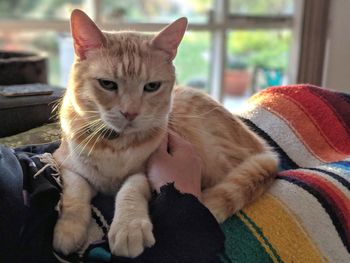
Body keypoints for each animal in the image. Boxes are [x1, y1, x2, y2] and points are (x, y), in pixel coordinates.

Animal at [53, 9, 278, 258]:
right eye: (107, 84)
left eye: (152, 86)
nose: (130, 112)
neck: (115, 145)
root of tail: (262, 147)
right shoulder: (65, 165)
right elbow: (75, 194)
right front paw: (69, 229)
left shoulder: (146, 173)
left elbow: (130, 190)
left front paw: (129, 227)